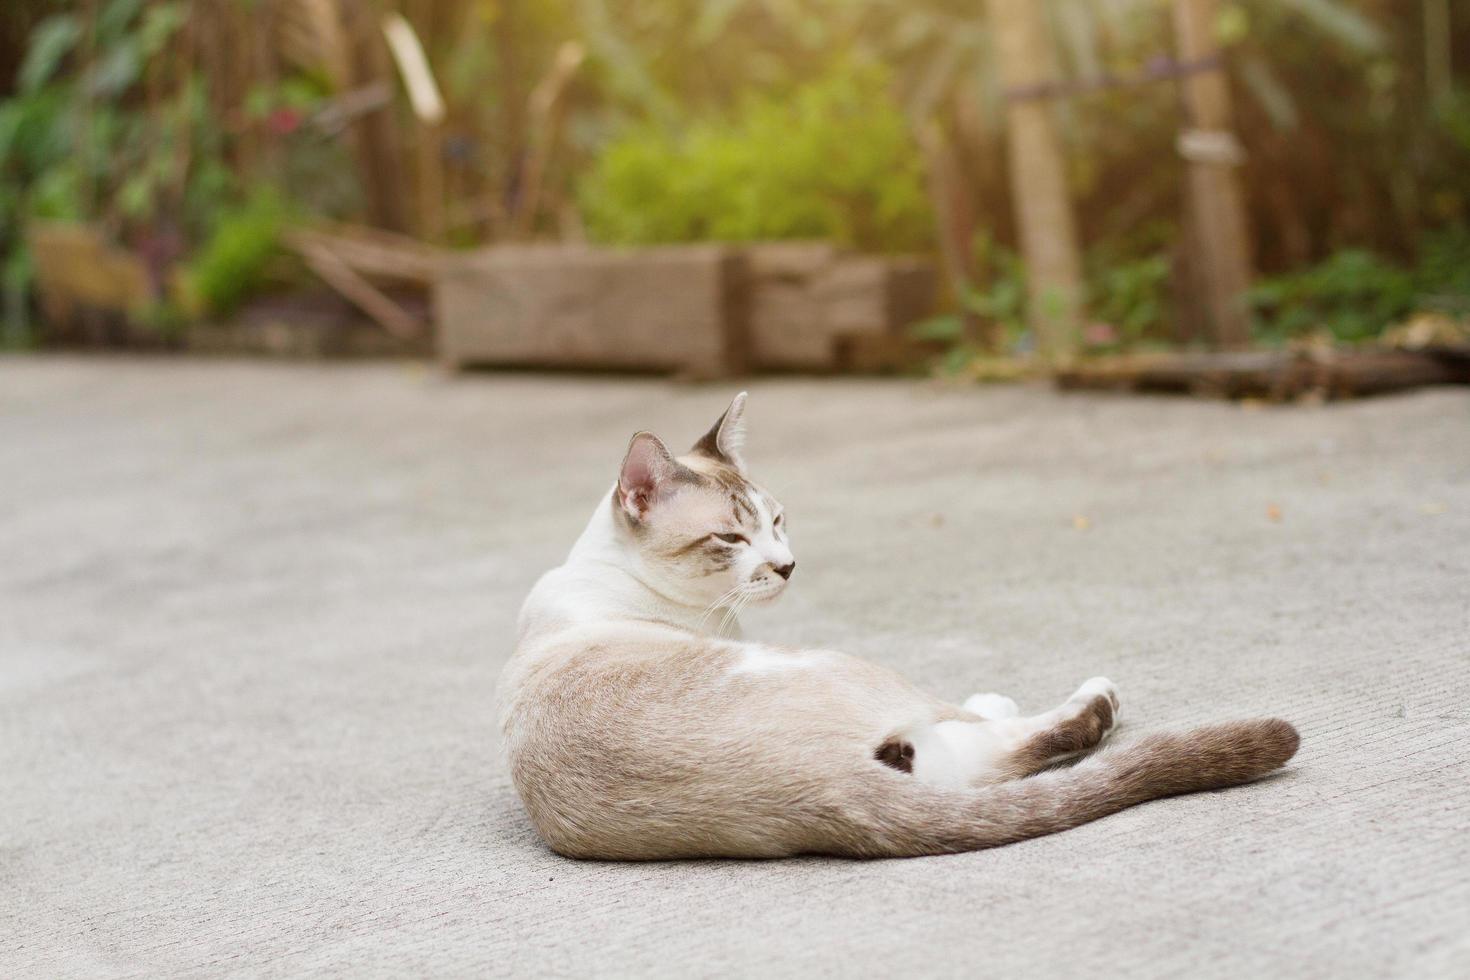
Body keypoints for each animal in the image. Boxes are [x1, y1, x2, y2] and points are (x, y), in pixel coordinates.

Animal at [496, 393, 1299, 858]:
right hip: (845, 669)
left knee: (973, 763)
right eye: (730, 538)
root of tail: (824, 792)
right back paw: (1091, 699)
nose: (787, 566)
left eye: (778, 522)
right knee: (1008, 734)